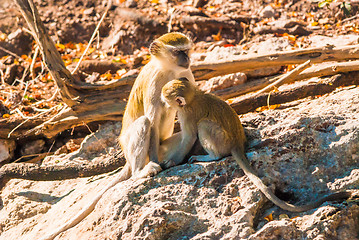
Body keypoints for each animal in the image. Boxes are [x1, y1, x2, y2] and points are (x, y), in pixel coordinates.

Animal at [43, 33, 197, 240]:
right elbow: (152, 121)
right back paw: (140, 171)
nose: (186, 59)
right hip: (133, 147)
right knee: (144, 123)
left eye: (186, 50)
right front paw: (155, 165)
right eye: (177, 52)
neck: (169, 70)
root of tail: (127, 159)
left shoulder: (187, 74)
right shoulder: (155, 82)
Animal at [161, 78, 358, 212]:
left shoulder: (186, 113)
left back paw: (211, 157)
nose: (162, 102)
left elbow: (189, 137)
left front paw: (172, 162)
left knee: (204, 126)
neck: (194, 96)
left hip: (221, 139)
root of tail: (237, 144)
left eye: (165, 98)